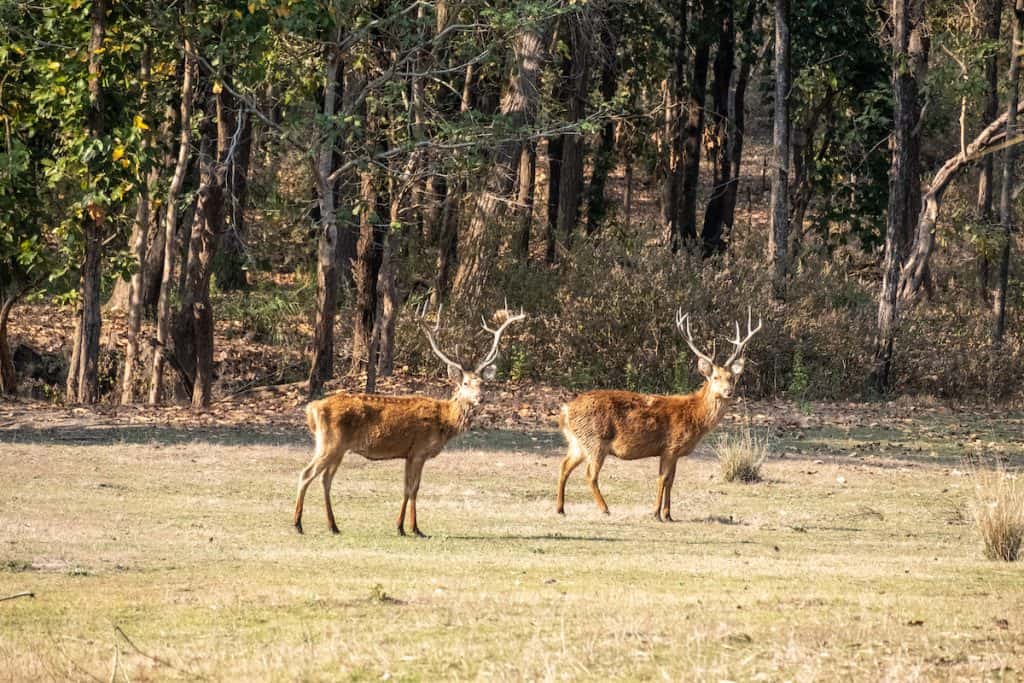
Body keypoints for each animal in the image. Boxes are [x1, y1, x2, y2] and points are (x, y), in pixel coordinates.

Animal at [290, 305, 524, 540]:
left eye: (482, 383)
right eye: (465, 383)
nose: (481, 398)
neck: (445, 421)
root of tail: (312, 409)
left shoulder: (409, 454)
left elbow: (410, 487)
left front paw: (407, 527)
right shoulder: (419, 450)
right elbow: (412, 488)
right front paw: (410, 528)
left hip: (337, 448)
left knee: (325, 479)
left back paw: (333, 526)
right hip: (330, 443)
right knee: (305, 474)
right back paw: (297, 524)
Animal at [552, 309, 761, 524]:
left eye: (732, 378)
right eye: (715, 377)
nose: (728, 391)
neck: (695, 416)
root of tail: (565, 410)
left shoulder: (674, 453)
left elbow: (671, 481)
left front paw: (668, 514)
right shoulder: (670, 446)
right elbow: (663, 479)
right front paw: (655, 513)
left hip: (578, 442)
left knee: (564, 466)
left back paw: (560, 509)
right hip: (596, 440)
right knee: (589, 474)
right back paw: (604, 509)